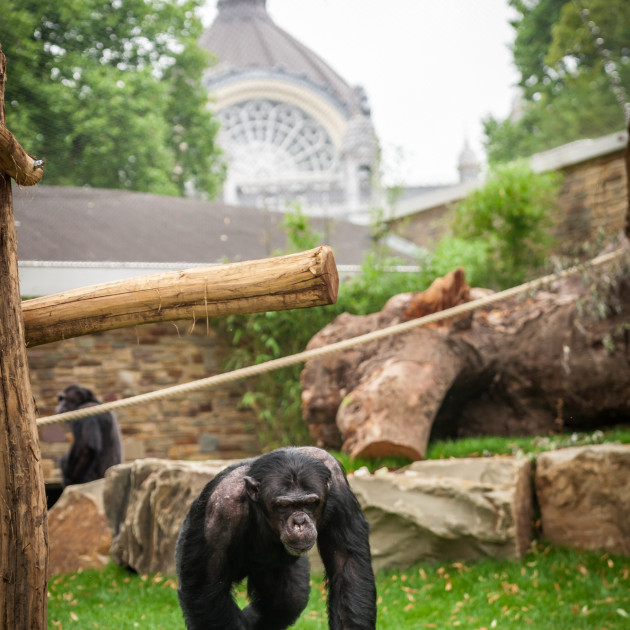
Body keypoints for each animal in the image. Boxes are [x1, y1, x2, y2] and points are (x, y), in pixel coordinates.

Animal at [175, 446, 378, 630]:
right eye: (283, 505)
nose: (299, 521)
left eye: (310, 503)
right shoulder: (219, 511)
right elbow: (206, 590)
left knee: (288, 601)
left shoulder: (338, 485)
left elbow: (347, 564)